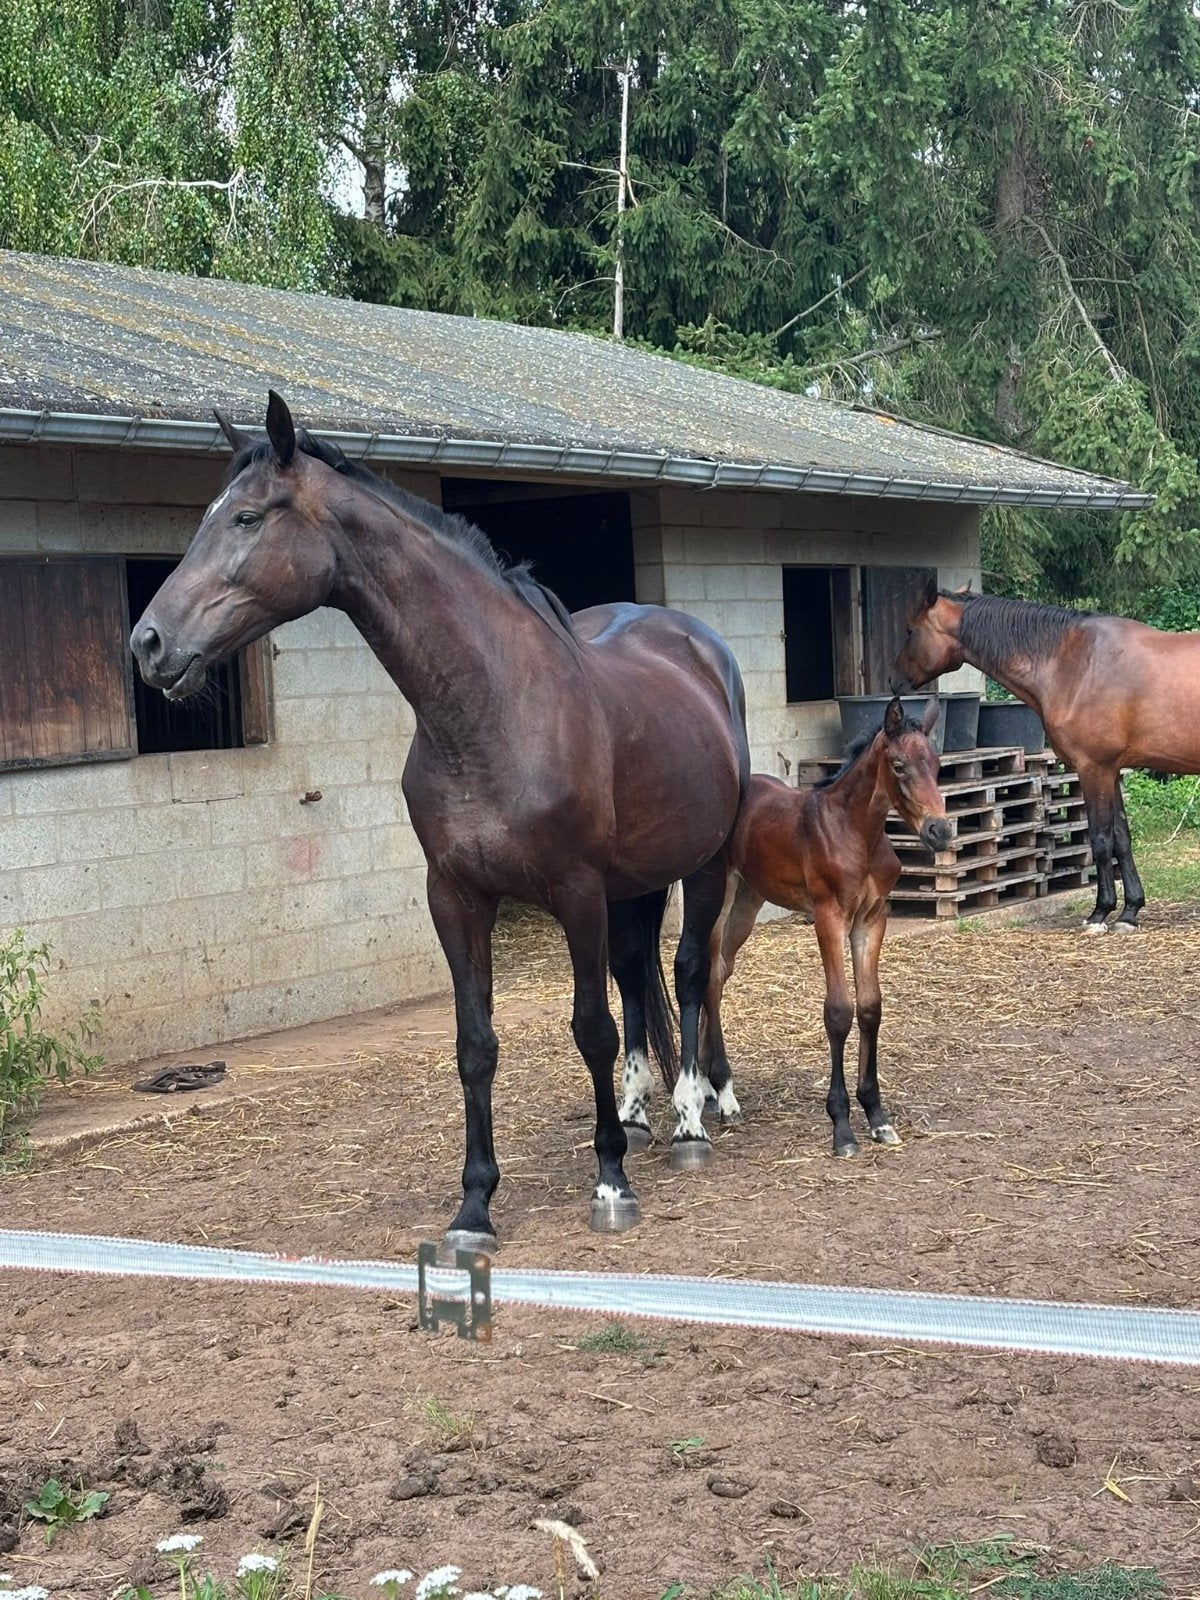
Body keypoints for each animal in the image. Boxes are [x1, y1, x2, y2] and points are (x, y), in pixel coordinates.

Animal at [130, 393, 750, 1252]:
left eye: (248, 518)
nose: (148, 643)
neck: (490, 708)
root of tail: (696, 643)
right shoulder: (455, 897)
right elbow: (475, 1045)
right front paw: (475, 1206)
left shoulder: (575, 893)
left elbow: (588, 1025)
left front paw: (610, 1182)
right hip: (637, 881)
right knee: (640, 975)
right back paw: (635, 1111)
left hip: (705, 862)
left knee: (693, 971)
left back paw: (694, 1116)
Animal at [894, 581, 1200, 933]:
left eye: (910, 630)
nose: (894, 681)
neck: (1074, 662)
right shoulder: (1112, 770)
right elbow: (1122, 838)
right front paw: (1129, 912)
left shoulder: (1094, 769)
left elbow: (1100, 838)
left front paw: (1100, 913)